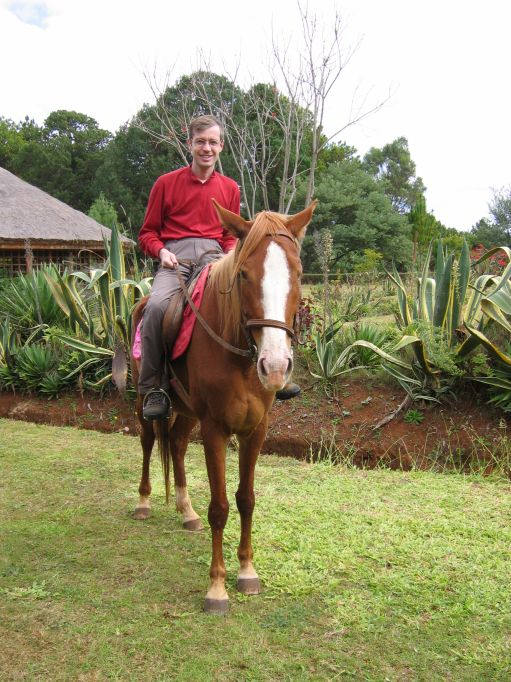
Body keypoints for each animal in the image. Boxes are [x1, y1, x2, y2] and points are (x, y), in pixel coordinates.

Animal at [131, 199, 317, 614]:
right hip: (143, 400)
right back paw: (145, 502)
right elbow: (219, 507)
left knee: (177, 444)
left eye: (298, 273)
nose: (275, 366)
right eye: (244, 275)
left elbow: (246, 500)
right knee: (150, 442)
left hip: (186, 411)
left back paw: (186, 511)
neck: (241, 357)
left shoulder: (255, 429)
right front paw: (216, 587)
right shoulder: (215, 429)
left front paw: (247, 571)